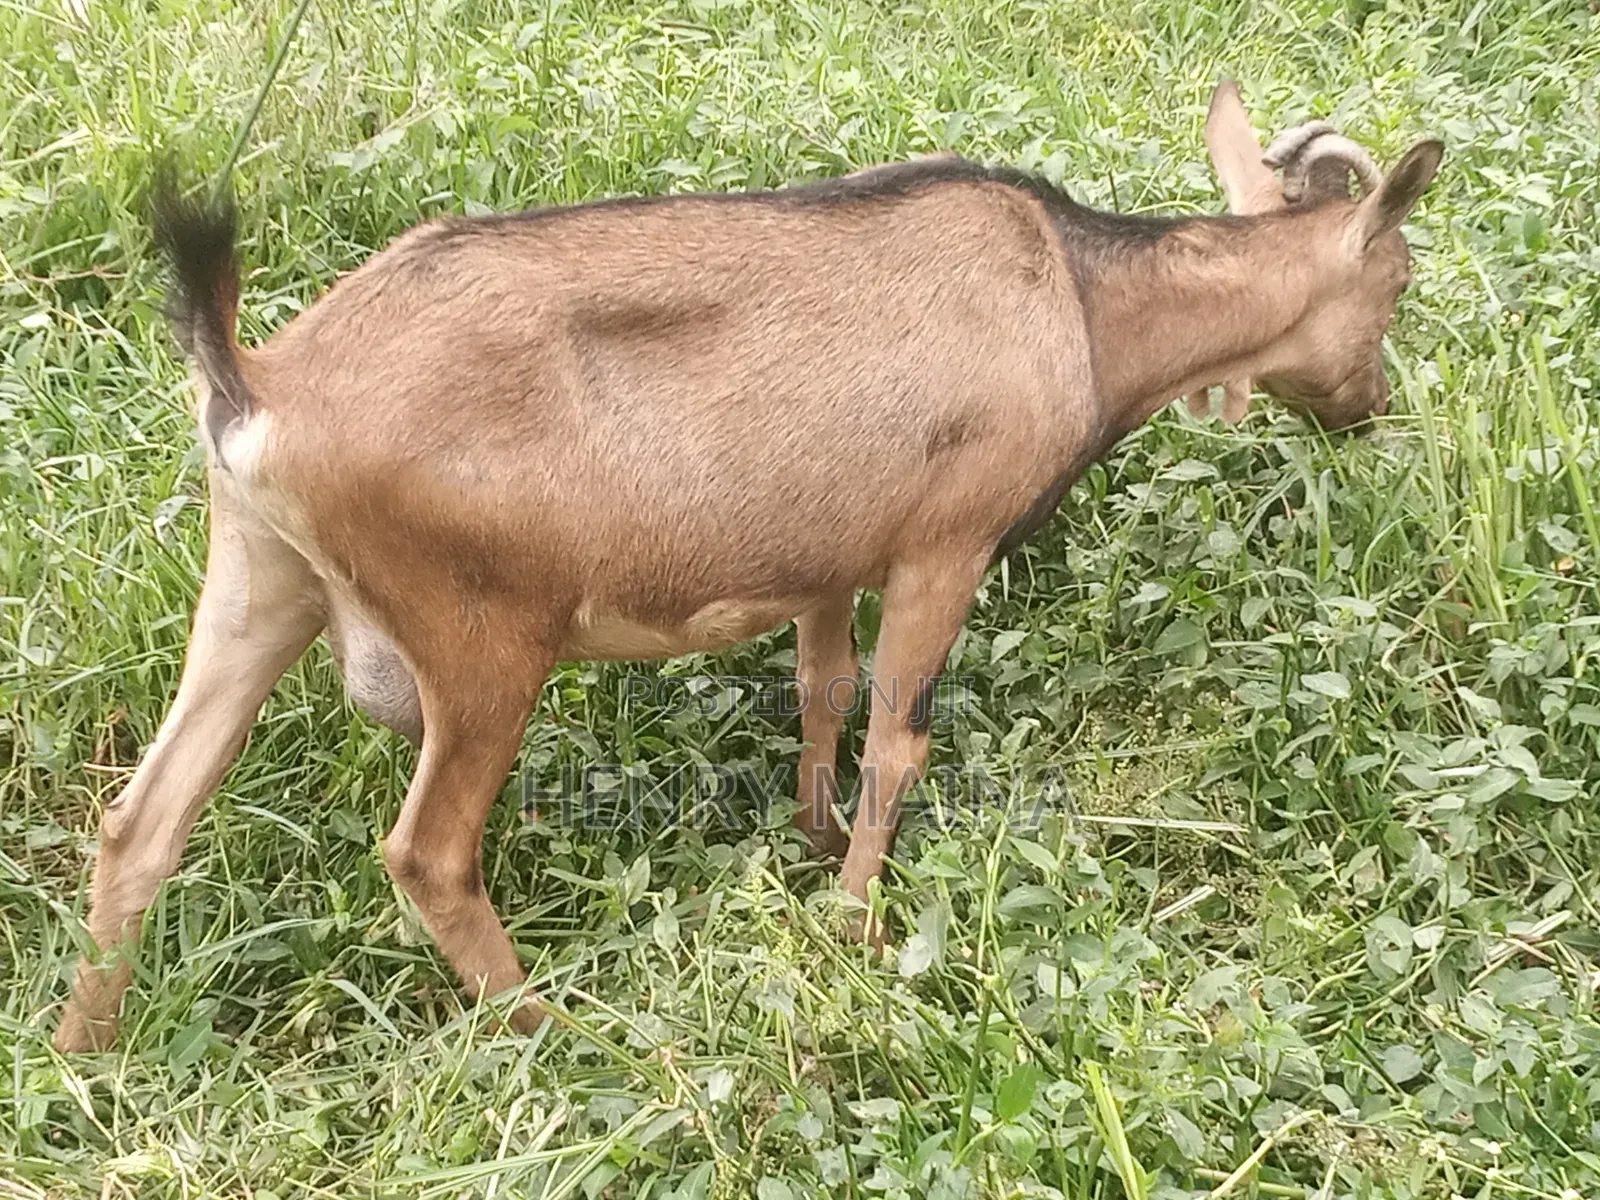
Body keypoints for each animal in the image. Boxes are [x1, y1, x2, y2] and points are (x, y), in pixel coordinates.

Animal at [54, 81, 1441, 1051]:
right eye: (1396, 281)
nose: (1370, 407)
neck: (1084, 309)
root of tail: (258, 386)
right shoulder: (945, 542)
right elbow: (896, 734)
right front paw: (858, 928)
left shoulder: (827, 557)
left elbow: (820, 688)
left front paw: (812, 844)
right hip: (480, 633)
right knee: (427, 855)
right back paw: (556, 1033)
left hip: (259, 583)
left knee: (141, 821)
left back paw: (88, 1058)